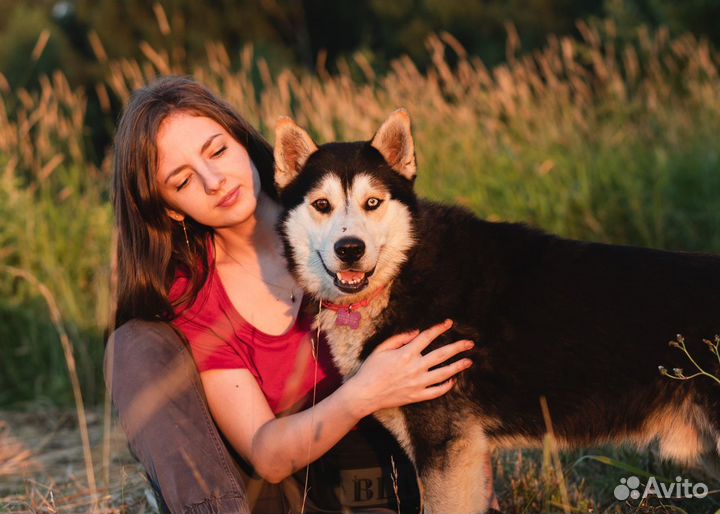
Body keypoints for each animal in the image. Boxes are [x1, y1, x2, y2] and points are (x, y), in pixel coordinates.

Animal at [272, 110, 720, 510]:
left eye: (372, 203)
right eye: (322, 205)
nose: (349, 249)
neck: (403, 270)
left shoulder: (447, 451)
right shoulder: (465, 454)